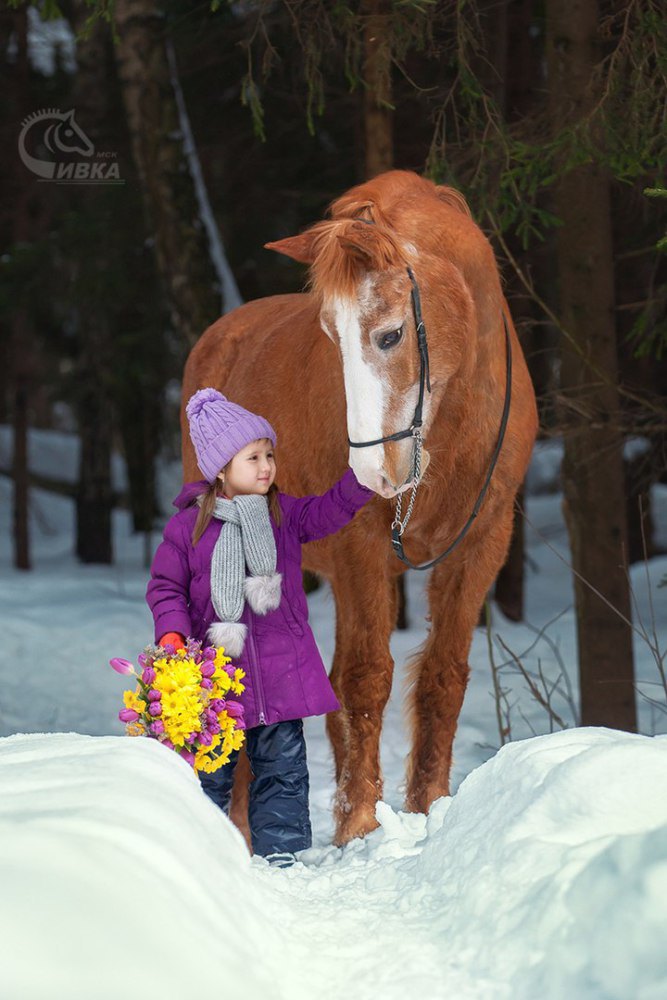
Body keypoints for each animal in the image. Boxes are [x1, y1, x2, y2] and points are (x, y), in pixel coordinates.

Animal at [181, 170, 536, 844]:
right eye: (330, 337)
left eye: (390, 334)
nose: (373, 474)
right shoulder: (360, 549)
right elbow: (367, 678)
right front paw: (361, 826)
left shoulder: (482, 543)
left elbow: (442, 677)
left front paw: (426, 810)